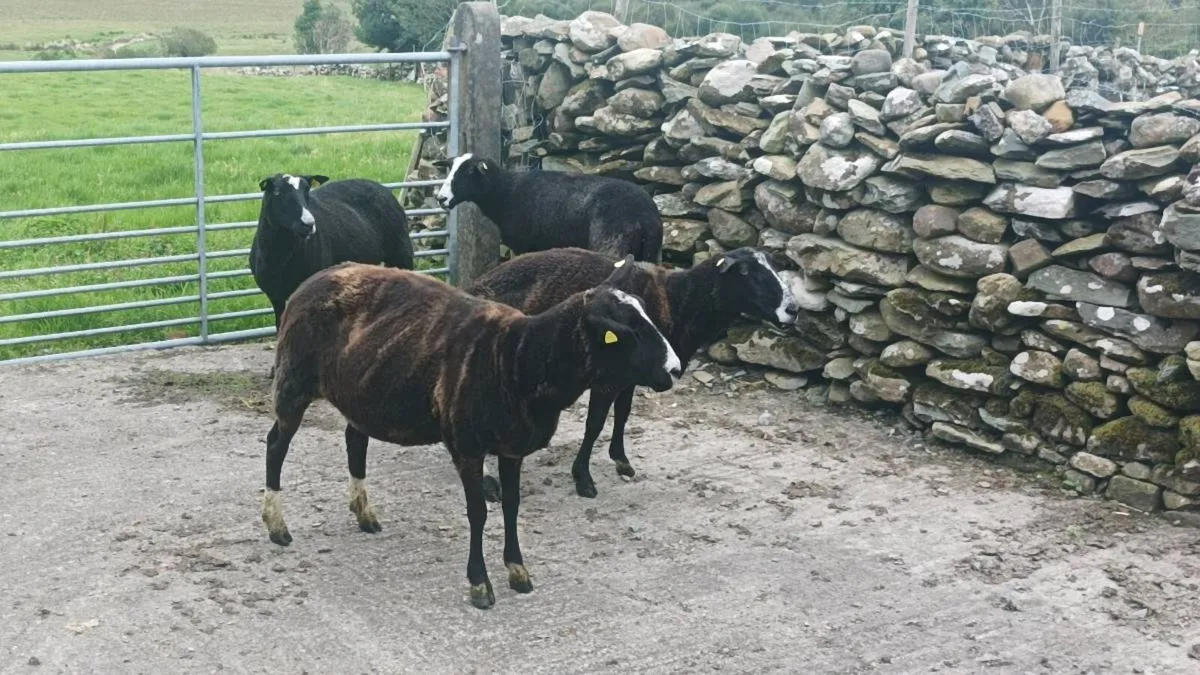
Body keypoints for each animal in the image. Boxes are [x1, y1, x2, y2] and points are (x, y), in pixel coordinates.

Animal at [249, 173, 414, 332]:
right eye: (277, 193)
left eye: (307, 190)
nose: (308, 224)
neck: (280, 258)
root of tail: (380, 186)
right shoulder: (275, 296)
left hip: (402, 253)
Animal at [259, 260, 682, 609]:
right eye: (624, 332)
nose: (675, 369)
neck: (518, 358)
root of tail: (312, 279)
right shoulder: (467, 446)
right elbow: (478, 511)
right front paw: (480, 584)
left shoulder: (512, 447)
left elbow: (512, 506)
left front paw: (518, 571)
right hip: (294, 379)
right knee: (276, 445)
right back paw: (277, 526)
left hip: (360, 394)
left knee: (354, 441)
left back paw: (364, 513)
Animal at [434, 154, 663, 262]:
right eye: (450, 169)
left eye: (468, 172)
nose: (440, 198)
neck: (505, 193)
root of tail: (645, 216)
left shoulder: (524, 246)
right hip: (650, 253)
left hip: (612, 245)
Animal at [468, 246, 797, 500]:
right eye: (746, 272)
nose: (793, 310)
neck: (678, 302)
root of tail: (475, 285)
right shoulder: (607, 378)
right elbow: (594, 425)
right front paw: (583, 479)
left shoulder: (632, 377)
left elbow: (623, 414)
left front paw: (621, 460)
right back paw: (487, 483)